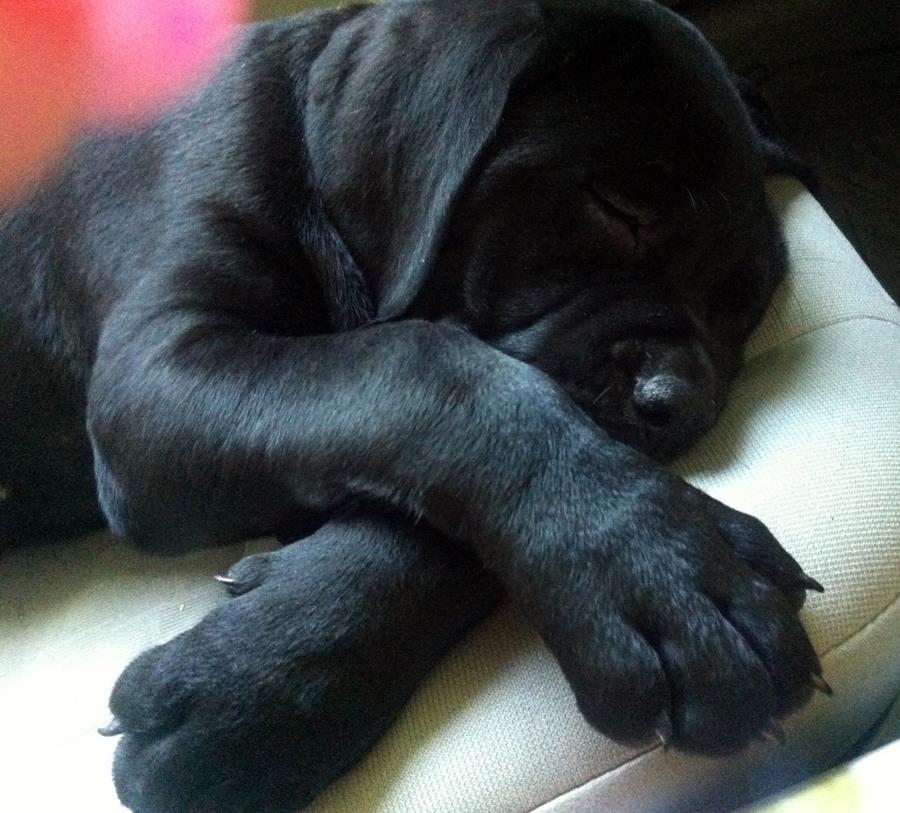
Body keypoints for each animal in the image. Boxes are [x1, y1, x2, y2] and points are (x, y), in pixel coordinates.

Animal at [0, 2, 827, 811]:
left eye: (746, 308)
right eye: (618, 206)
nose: (681, 400)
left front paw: (247, 695)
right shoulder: (157, 370)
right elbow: (421, 367)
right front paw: (657, 570)